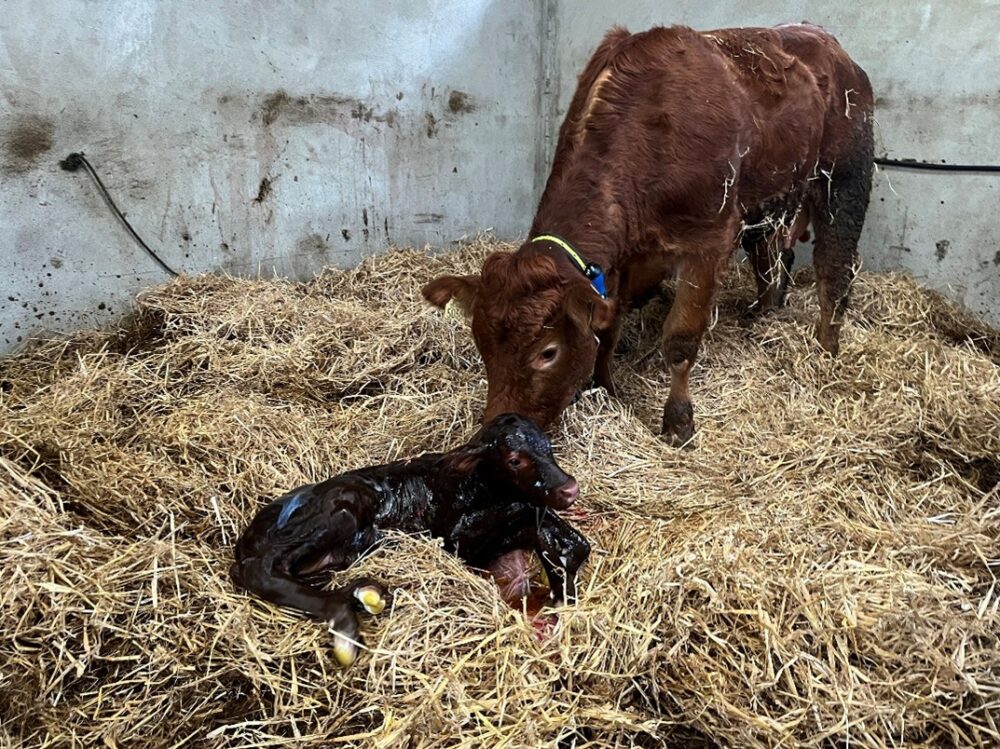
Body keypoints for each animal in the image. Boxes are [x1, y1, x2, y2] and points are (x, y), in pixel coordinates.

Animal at [422, 23, 875, 445]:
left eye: (547, 352)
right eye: (482, 346)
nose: (497, 430)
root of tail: (824, 39)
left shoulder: (708, 240)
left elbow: (679, 340)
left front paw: (678, 422)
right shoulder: (622, 258)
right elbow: (608, 326)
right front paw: (605, 388)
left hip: (844, 176)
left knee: (834, 267)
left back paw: (826, 349)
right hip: (770, 199)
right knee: (772, 259)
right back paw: (763, 314)